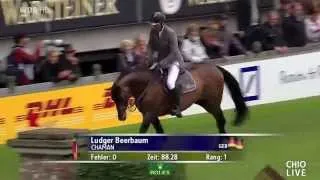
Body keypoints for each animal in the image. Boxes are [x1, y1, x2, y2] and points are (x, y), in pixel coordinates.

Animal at [111, 62, 249, 134]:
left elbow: (142, 131)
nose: (121, 117)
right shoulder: (151, 115)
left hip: (212, 103)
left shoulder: (149, 115)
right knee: (220, 120)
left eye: (119, 97)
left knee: (220, 120)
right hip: (205, 102)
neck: (147, 85)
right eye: (113, 99)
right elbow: (160, 132)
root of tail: (215, 67)